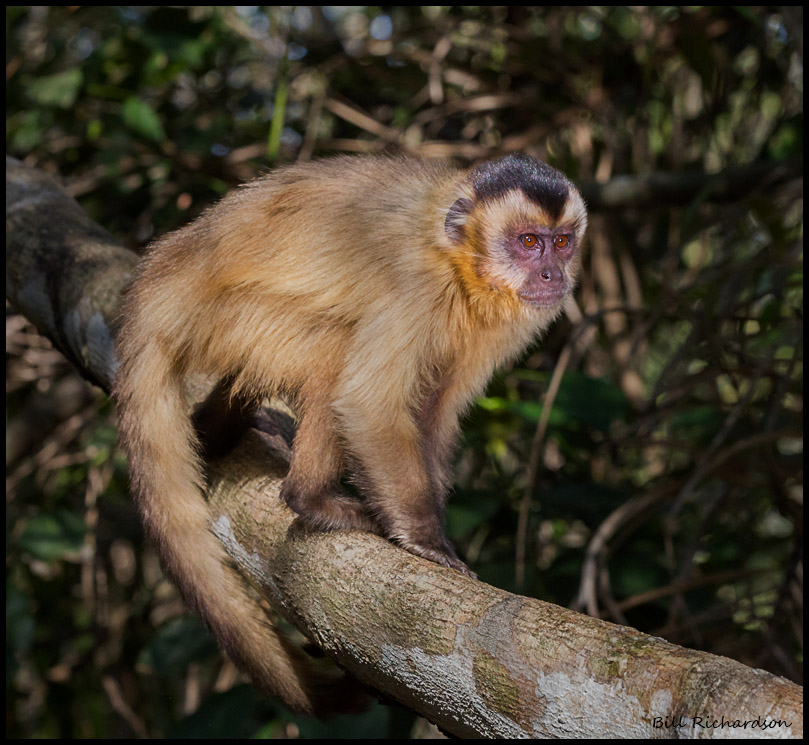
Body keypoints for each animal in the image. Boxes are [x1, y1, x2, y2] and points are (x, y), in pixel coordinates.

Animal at [110, 153, 584, 716]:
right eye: (528, 242)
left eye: (561, 242)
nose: (553, 273)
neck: (459, 264)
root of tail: (162, 278)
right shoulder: (415, 286)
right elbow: (368, 404)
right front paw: (426, 540)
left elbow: (433, 415)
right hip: (227, 320)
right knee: (334, 351)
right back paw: (310, 497)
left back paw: (217, 428)